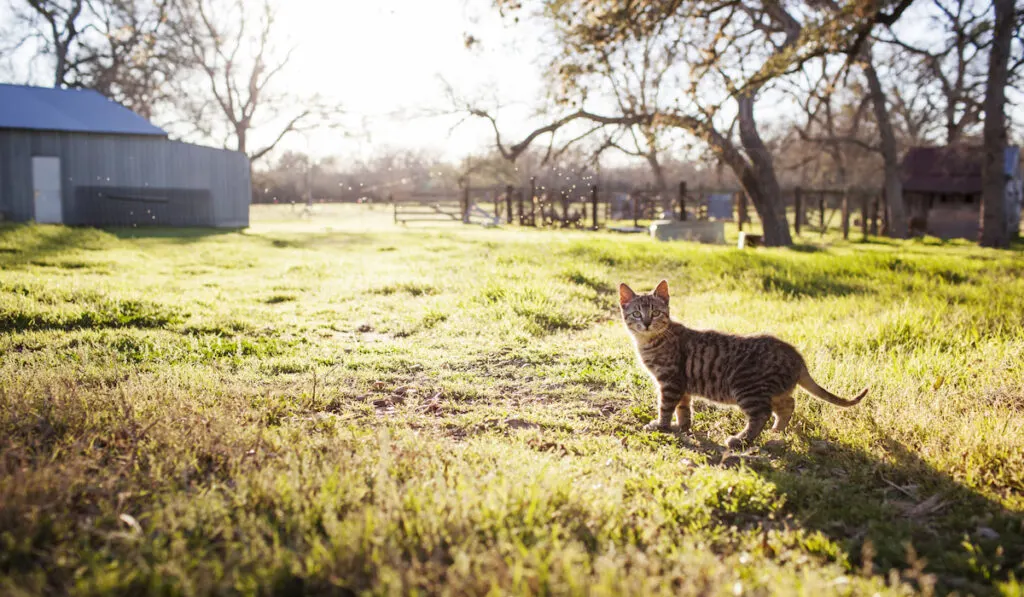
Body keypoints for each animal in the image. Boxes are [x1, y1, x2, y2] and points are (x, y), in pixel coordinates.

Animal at [618, 282, 868, 450]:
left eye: (655, 312)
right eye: (637, 313)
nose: (646, 322)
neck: (650, 341)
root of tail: (796, 356)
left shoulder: (670, 381)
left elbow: (666, 407)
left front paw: (661, 426)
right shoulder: (682, 385)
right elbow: (683, 409)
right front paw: (683, 427)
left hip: (747, 387)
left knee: (761, 414)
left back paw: (740, 440)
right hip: (773, 390)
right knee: (788, 404)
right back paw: (777, 431)